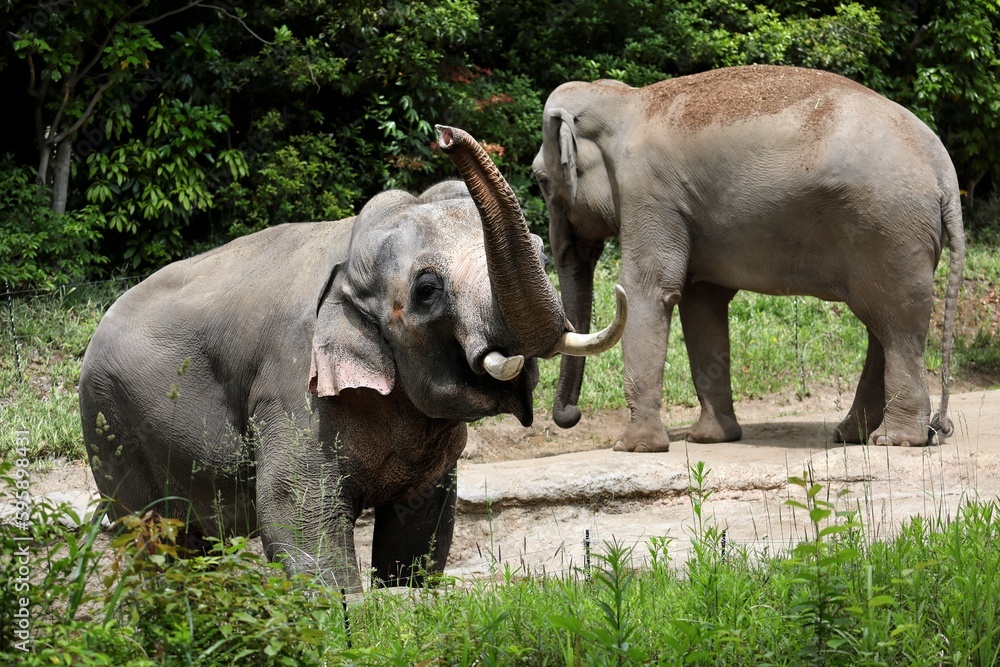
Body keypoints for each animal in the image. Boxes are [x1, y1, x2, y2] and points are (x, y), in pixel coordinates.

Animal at [80, 125, 624, 588]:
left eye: (539, 249)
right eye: (427, 290)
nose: (444, 133)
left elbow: (420, 529)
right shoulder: (291, 388)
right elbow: (295, 517)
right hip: (109, 424)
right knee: (148, 536)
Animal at [536, 65, 964, 454]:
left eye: (539, 179)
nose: (570, 415)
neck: (622, 101)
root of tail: (943, 169)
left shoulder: (647, 191)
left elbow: (649, 291)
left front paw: (634, 447)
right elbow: (701, 303)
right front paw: (709, 438)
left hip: (889, 229)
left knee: (897, 327)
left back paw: (895, 441)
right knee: (882, 327)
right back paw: (852, 435)